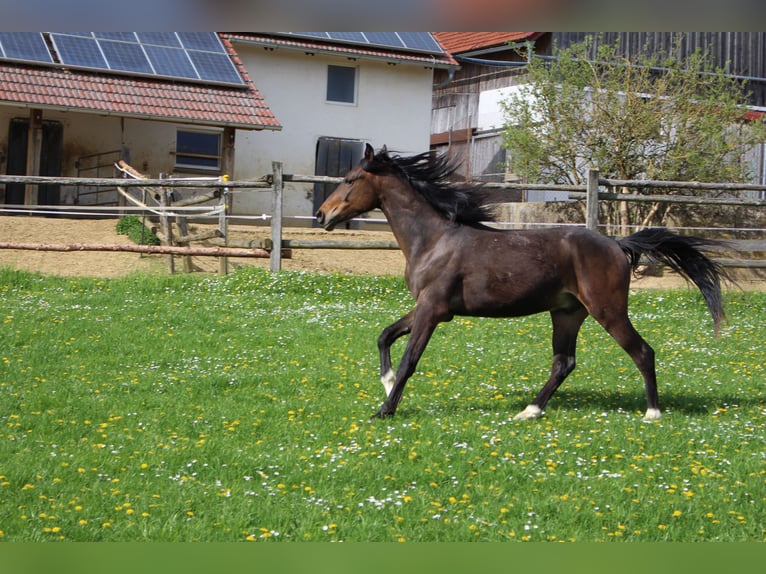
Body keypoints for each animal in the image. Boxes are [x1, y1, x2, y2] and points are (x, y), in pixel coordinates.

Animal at [315, 144, 728, 422]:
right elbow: (385, 336)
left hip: (607, 310)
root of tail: (617, 244)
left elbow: (409, 360)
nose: (322, 215)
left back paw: (652, 413)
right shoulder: (431, 307)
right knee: (564, 363)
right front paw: (385, 384)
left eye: (350, 179)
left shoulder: (433, 309)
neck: (432, 240)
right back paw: (530, 410)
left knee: (642, 352)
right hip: (567, 313)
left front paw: (385, 409)